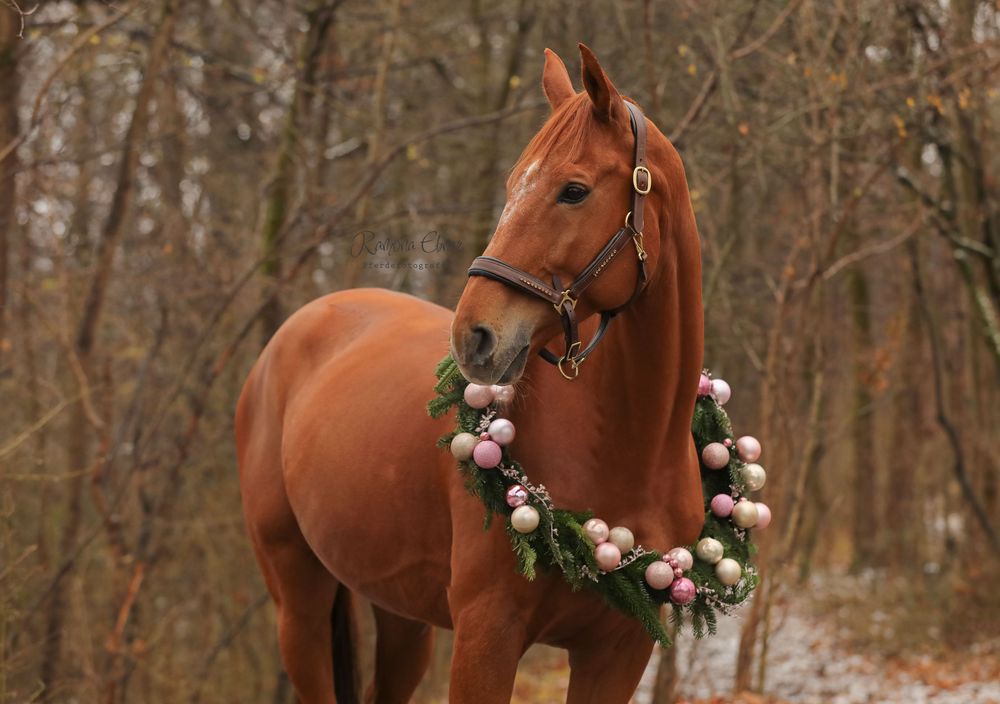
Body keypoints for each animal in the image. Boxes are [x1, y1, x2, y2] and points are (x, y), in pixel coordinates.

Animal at [234, 45, 704, 704]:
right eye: (511, 185)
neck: (629, 455)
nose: (473, 337)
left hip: (401, 616)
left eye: (574, 191)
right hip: (298, 607)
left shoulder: (618, 651)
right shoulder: (488, 634)